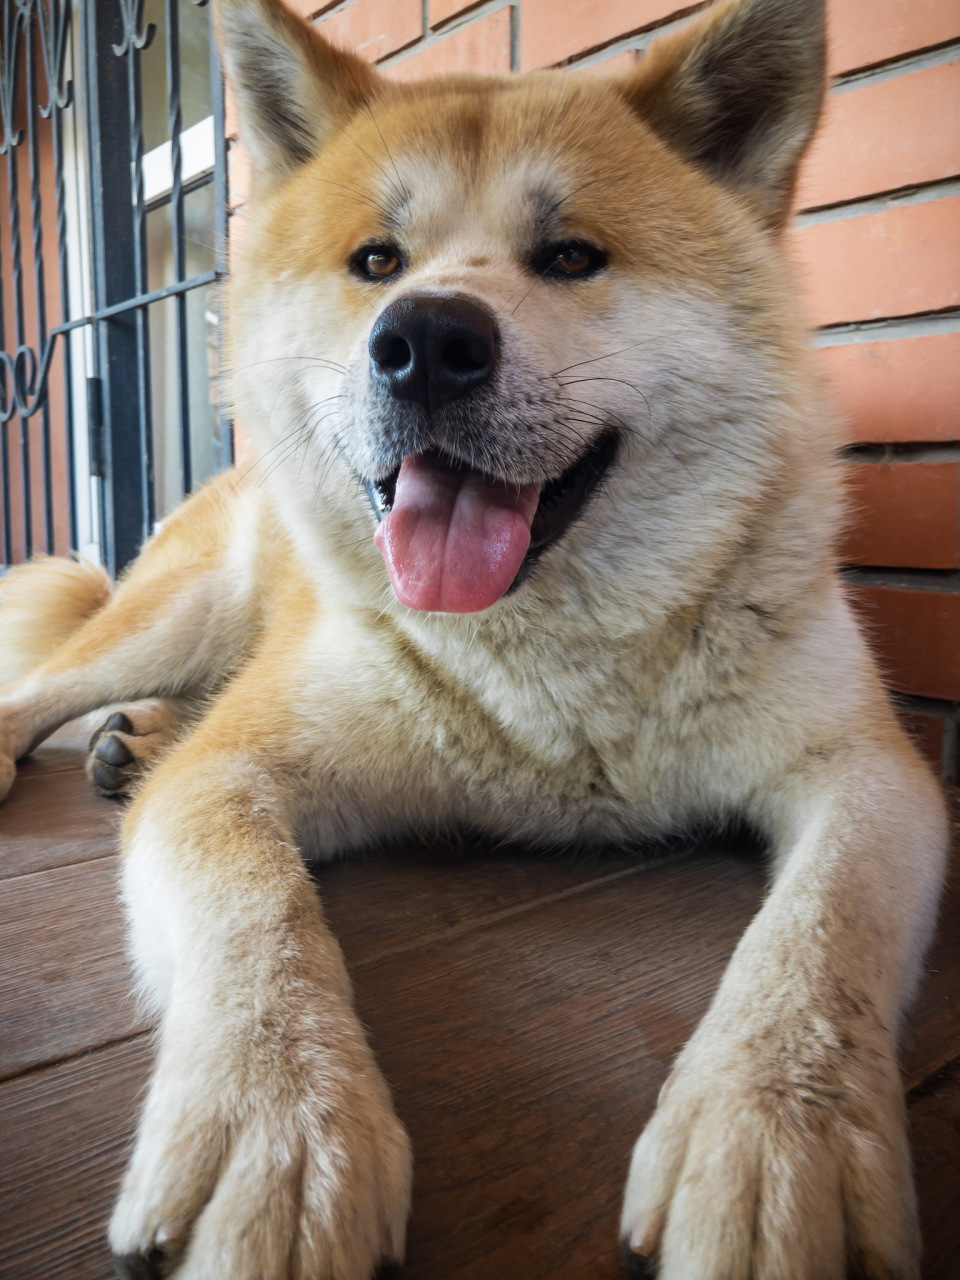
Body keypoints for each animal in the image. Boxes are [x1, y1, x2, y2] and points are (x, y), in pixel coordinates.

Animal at [0, 0, 947, 1274]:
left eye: (573, 256)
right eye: (376, 262)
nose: (427, 339)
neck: (546, 674)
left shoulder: (868, 773)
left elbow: (819, 937)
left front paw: (770, 1136)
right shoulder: (233, 777)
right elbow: (259, 918)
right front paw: (278, 1129)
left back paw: (137, 737)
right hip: (184, 608)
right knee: (47, 688)